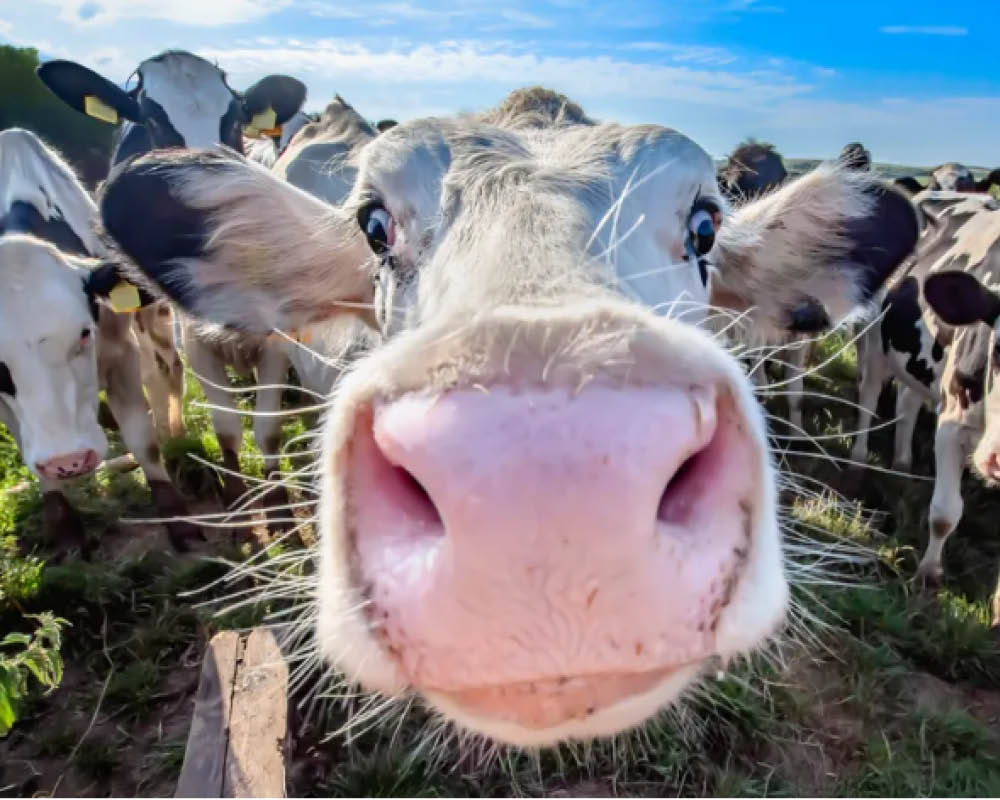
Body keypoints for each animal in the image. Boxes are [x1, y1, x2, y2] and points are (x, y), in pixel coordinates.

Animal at [0, 127, 200, 551]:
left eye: (83, 333)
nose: (68, 462)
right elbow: (28, 449)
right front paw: (65, 529)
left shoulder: (122, 354)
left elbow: (143, 440)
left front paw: (179, 521)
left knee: (167, 371)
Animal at [38, 50, 308, 530]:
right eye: (151, 120)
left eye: (235, 118)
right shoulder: (196, 341)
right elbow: (227, 427)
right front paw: (236, 501)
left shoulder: (276, 339)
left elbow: (267, 428)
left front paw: (278, 510)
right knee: (160, 372)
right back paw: (172, 435)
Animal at [850, 191, 1000, 584]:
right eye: (999, 349)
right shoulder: (952, 422)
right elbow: (946, 512)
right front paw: (928, 574)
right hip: (875, 340)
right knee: (869, 397)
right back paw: (857, 460)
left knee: (906, 404)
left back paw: (902, 465)